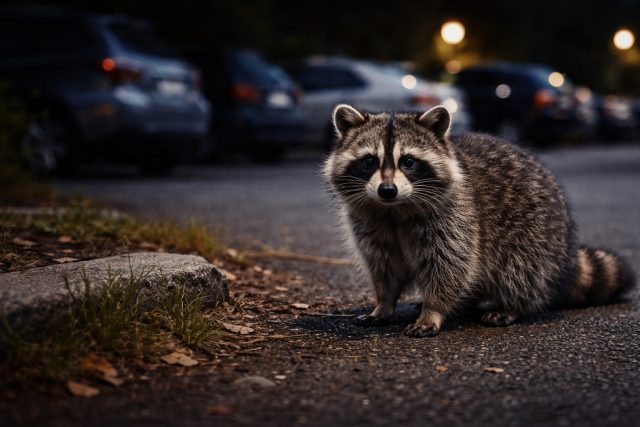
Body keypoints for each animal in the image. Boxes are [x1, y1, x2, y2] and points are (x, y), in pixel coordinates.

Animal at [323, 104, 635, 337]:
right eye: (369, 161)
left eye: (409, 162)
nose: (387, 190)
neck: (394, 210)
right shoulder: (370, 223)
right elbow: (383, 266)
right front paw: (383, 303)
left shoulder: (456, 218)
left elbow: (451, 265)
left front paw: (433, 311)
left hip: (537, 233)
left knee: (519, 268)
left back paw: (513, 305)